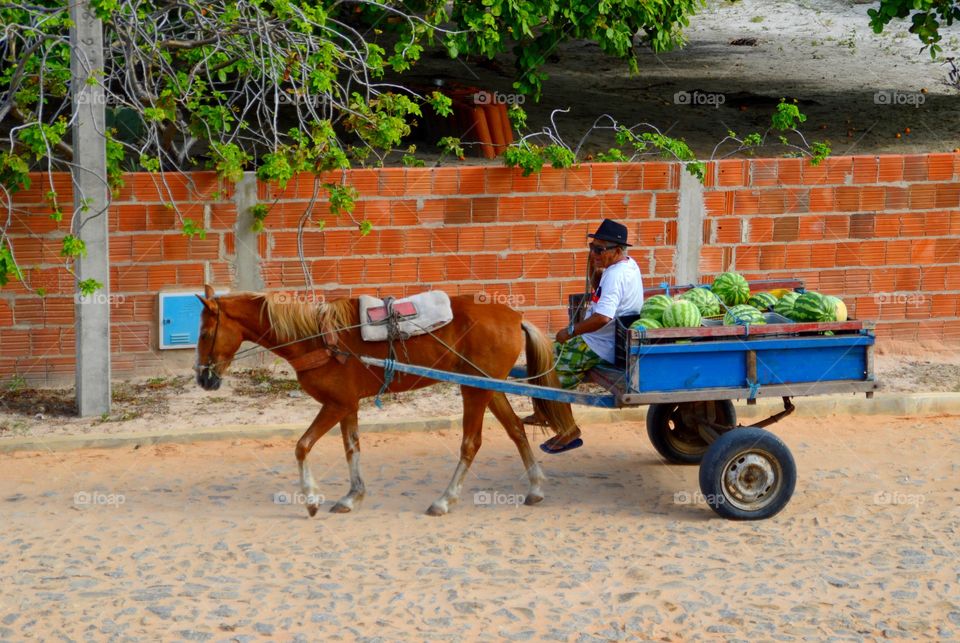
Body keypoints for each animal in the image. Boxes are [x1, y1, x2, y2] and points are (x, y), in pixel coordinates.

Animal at [191, 286, 572, 520]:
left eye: (205, 333)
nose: (203, 378)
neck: (317, 338)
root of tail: (514, 316)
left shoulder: (336, 404)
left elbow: (302, 446)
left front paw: (312, 499)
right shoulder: (348, 405)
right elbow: (352, 448)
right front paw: (352, 496)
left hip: (474, 391)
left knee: (471, 443)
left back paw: (445, 500)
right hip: (488, 388)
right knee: (516, 431)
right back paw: (535, 488)